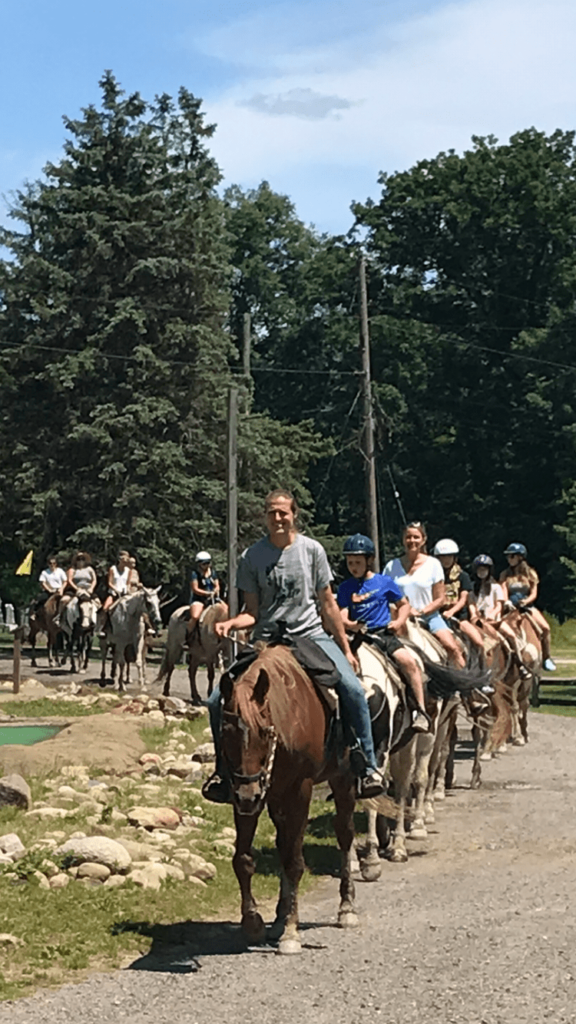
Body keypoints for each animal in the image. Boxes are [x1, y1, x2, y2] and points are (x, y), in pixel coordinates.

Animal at [218, 643, 356, 954]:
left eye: (264, 731)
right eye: (225, 732)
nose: (248, 796)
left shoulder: (299, 791)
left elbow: (294, 862)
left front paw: (291, 933)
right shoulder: (246, 795)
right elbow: (243, 858)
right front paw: (253, 923)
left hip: (343, 779)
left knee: (344, 834)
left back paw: (346, 908)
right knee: (283, 844)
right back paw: (279, 917)